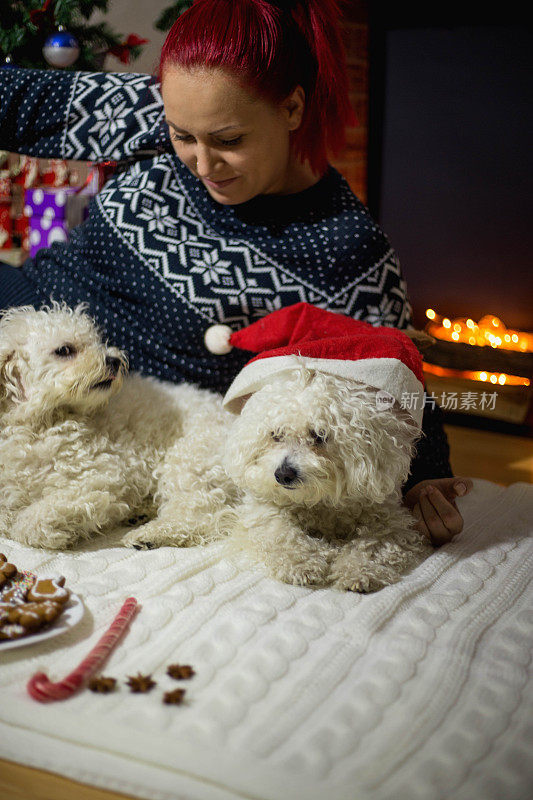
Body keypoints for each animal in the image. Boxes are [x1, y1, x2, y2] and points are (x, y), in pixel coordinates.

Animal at [0, 302, 234, 552]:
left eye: (95, 340)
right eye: (64, 350)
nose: (114, 359)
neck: (38, 423)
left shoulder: (100, 476)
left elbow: (36, 520)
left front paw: (47, 530)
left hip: (187, 460)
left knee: (201, 516)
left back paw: (151, 534)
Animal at [219, 366, 432, 592]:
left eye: (319, 435)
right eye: (276, 435)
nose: (283, 474)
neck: (321, 501)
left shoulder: (389, 519)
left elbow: (372, 544)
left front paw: (358, 571)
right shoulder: (264, 510)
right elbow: (283, 534)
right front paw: (302, 564)